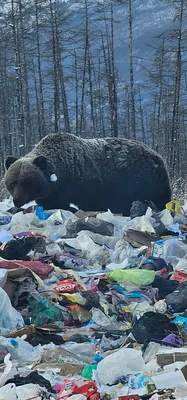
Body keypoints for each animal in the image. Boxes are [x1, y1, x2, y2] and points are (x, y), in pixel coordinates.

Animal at [4, 132, 171, 216]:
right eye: (12, 183)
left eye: (26, 182)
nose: (17, 200)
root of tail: (155, 153)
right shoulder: (54, 192)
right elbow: (52, 203)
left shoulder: (87, 182)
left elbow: (93, 201)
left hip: (145, 179)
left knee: (159, 197)